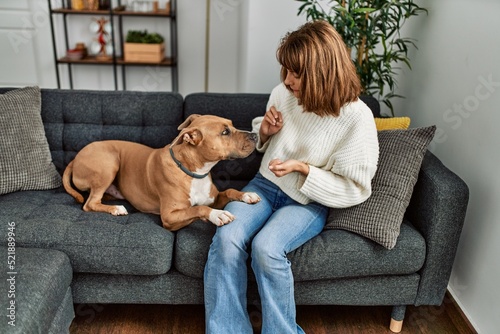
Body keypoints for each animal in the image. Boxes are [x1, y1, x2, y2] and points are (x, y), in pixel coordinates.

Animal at [62, 113, 262, 231]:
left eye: (231, 125)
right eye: (225, 132)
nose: (255, 135)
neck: (193, 171)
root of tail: (75, 158)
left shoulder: (214, 198)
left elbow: (228, 191)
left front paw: (247, 195)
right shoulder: (169, 216)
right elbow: (197, 208)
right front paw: (216, 214)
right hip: (109, 163)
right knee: (90, 203)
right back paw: (116, 208)